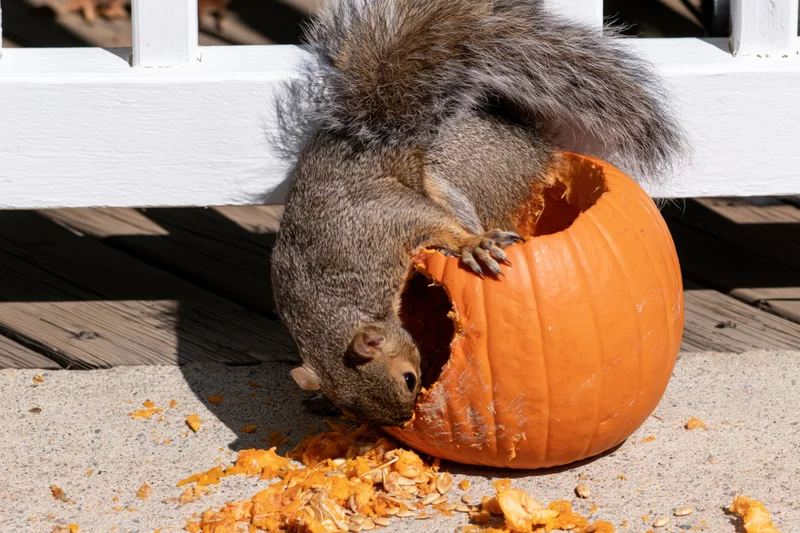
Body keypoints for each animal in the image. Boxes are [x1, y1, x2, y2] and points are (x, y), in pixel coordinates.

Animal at [270, 0, 688, 426]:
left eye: (409, 379)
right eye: (351, 409)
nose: (404, 420)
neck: (326, 294)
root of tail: (533, 145)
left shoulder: (386, 220)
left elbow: (437, 223)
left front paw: (473, 246)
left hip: (459, 174)